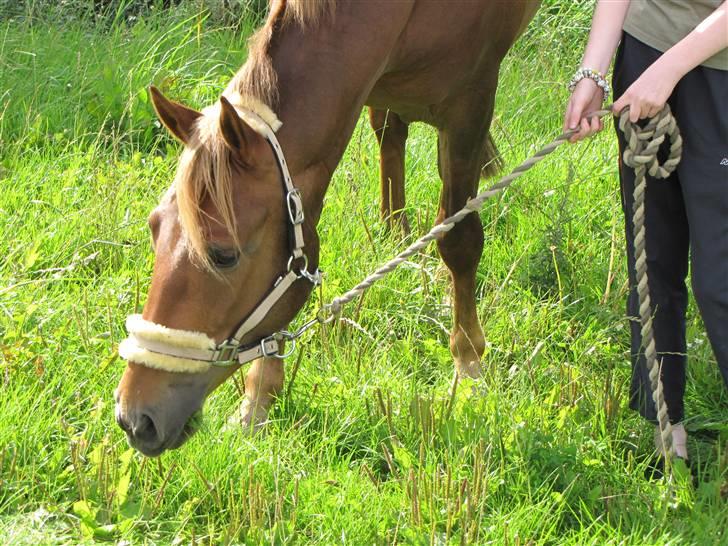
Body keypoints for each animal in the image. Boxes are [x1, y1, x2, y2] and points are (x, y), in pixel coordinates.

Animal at [114, 0, 540, 454]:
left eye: (224, 255)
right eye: (154, 228)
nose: (134, 418)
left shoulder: (470, 105)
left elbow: (459, 240)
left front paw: (469, 367)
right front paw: (256, 400)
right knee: (390, 133)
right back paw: (397, 231)